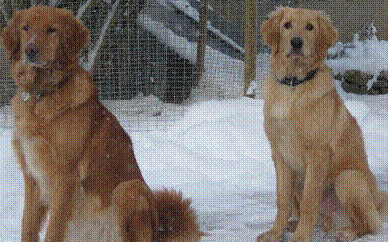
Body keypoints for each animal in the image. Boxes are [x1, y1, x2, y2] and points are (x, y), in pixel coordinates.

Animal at [256, 6, 386, 242]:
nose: (296, 42)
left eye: (310, 27)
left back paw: (347, 233)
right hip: (300, 179)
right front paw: (275, 233)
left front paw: (301, 237)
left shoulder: (317, 155)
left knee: (367, 224)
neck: (293, 86)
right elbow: (282, 201)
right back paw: (293, 224)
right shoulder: (279, 154)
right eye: (287, 25)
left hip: (347, 178)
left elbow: (310, 202)